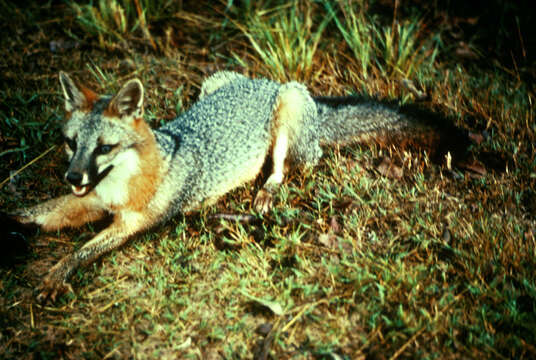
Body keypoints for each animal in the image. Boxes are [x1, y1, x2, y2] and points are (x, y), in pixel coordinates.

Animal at [0, 70, 472, 300]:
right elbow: (43, 212)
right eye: (71, 144)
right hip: (213, 83)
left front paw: (56, 274)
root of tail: (267, 81)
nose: (72, 176)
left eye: (104, 147)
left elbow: (82, 250)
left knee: (286, 167)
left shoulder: (134, 221)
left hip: (287, 117)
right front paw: (12, 221)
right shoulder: (91, 200)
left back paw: (265, 193)